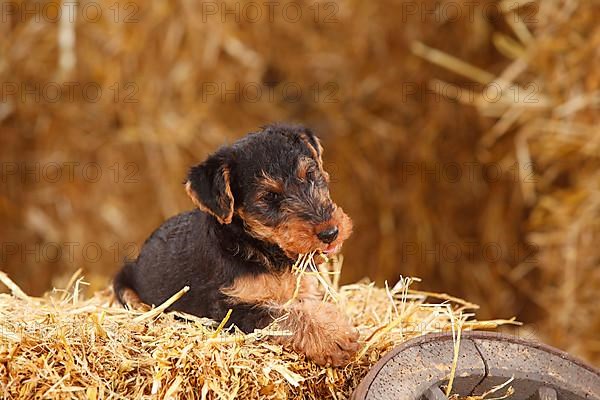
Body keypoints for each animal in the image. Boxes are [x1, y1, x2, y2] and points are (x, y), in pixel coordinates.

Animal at [114, 123, 358, 368]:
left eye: (309, 174)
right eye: (269, 196)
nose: (330, 232)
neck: (261, 249)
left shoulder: (304, 289)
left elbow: (302, 305)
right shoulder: (229, 308)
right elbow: (284, 314)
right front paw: (334, 337)